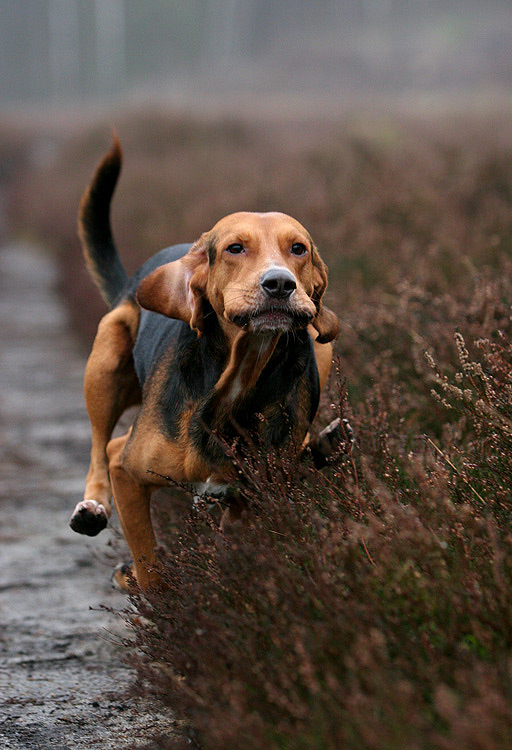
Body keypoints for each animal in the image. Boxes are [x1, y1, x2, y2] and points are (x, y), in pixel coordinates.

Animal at [68, 138, 340, 592]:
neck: (237, 374)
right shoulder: (127, 470)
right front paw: (154, 595)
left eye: (298, 249)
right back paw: (91, 506)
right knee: (98, 446)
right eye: (235, 248)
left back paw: (325, 444)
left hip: (321, 347)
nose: (280, 284)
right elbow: (148, 564)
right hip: (105, 357)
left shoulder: (256, 496)